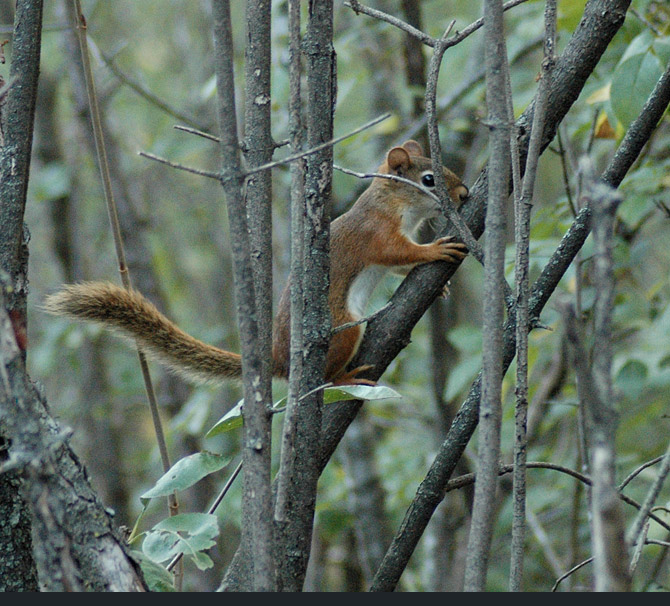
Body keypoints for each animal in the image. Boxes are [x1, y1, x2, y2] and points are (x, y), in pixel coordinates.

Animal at [46, 141, 468, 384]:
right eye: (429, 179)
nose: (464, 194)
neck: (394, 205)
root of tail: (281, 363)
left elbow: (398, 265)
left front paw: (442, 286)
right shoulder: (375, 234)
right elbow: (398, 253)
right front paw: (434, 251)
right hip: (344, 328)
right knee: (327, 379)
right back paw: (349, 378)